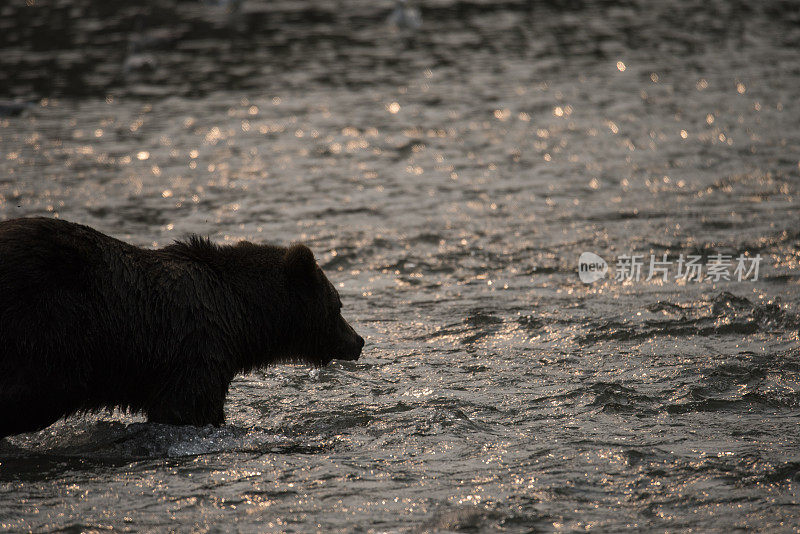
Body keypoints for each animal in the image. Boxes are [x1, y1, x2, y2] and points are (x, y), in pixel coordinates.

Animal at [0, 218, 362, 440]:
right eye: (338, 305)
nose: (358, 341)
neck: (240, 315)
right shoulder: (196, 350)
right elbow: (188, 408)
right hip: (48, 325)